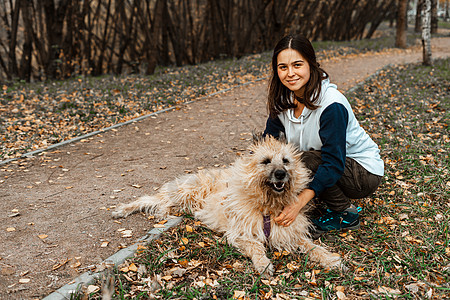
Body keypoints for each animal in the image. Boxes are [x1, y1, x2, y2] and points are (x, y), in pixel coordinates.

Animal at [111, 135, 342, 276]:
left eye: (285, 161)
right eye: (266, 161)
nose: (280, 174)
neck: (267, 206)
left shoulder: (290, 233)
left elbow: (312, 246)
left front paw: (330, 259)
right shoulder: (240, 234)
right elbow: (256, 247)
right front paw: (263, 263)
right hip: (186, 192)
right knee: (151, 199)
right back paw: (124, 209)